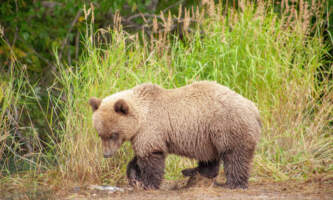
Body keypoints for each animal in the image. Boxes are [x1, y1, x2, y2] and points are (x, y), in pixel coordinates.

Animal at [89, 81, 260, 189]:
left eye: (113, 134)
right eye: (100, 134)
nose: (106, 154)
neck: (141, 116)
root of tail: (254, 108)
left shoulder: (151, 127)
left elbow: (150, 156)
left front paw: (147, 183)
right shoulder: (144, 133)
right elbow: (139, 157)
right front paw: (134, 176)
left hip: (227, 126)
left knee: (235, 155)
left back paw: (233, 183)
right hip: (208, 137)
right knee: (209, 158)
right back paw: (192, 172)